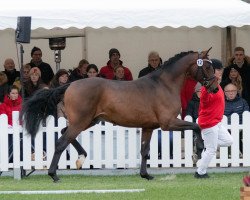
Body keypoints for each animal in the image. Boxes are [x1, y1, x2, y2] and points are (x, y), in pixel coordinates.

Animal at [21, 48, 218, 183]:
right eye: (208, 66)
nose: (215, 88)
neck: (164, 85)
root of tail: (70, 85)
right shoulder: (168, 123)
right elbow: (197, 126)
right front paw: (199, 151)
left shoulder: (149, 127)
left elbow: (144, 151)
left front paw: (145, 175)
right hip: (81, 122)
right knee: (62, 142)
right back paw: (54, 174)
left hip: (89, 121)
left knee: (63, 133)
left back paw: (80, 158)